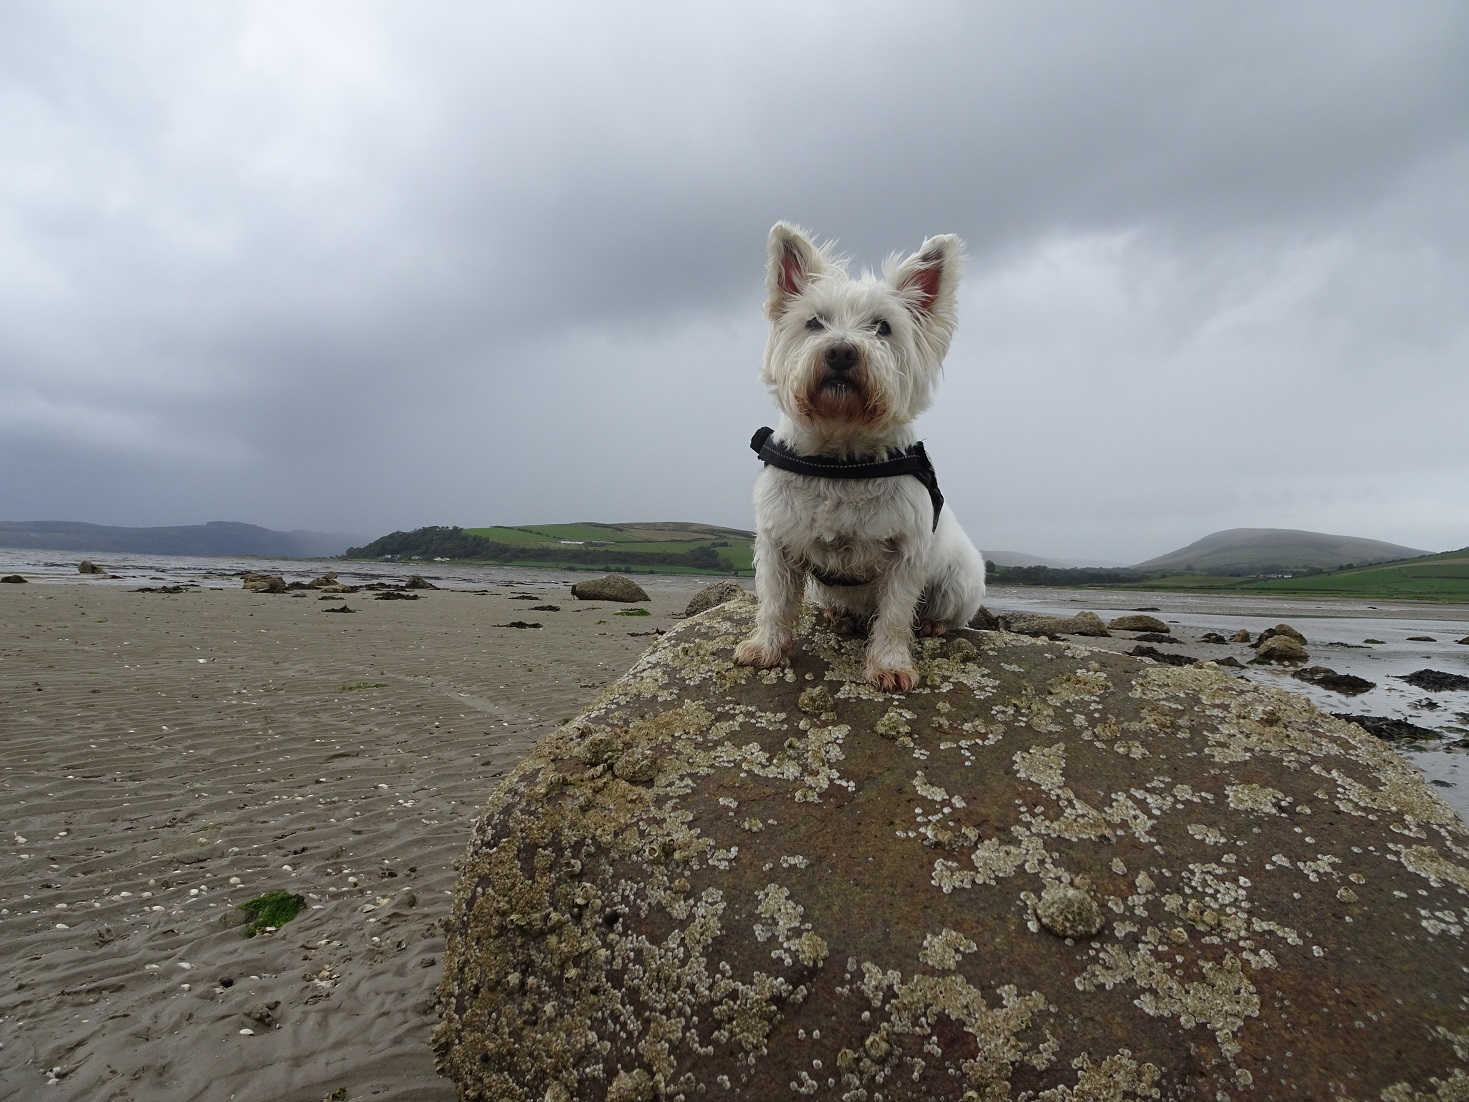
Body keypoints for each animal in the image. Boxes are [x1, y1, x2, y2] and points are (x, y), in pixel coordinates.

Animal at [731, 221, 987, 693]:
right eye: (814, 322)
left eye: (882, 327)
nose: (841, 351)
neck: (840, 458)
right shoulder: (777, 541)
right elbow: (775, 600)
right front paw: (765, 647)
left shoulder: (905, 553)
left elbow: (895, 615)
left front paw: (890, 666)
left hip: (959, 581)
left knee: (943, 612)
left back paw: (934, 625)